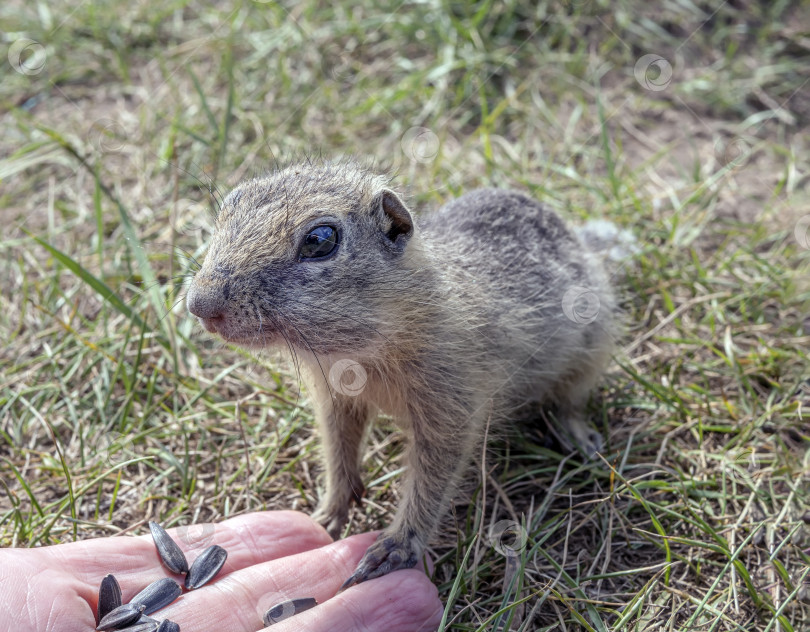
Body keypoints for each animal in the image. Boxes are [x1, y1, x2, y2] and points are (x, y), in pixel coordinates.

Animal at [186, 158, 620, 588]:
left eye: (320, 240)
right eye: (229, 205)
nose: (199, 304)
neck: (356, 352)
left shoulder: (452, 406)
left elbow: (433, 478)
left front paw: (394, 547)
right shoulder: (333, 399)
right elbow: (337, 448)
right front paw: (329, 510)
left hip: (592, 351)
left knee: (570, 402)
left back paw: (579, 435)